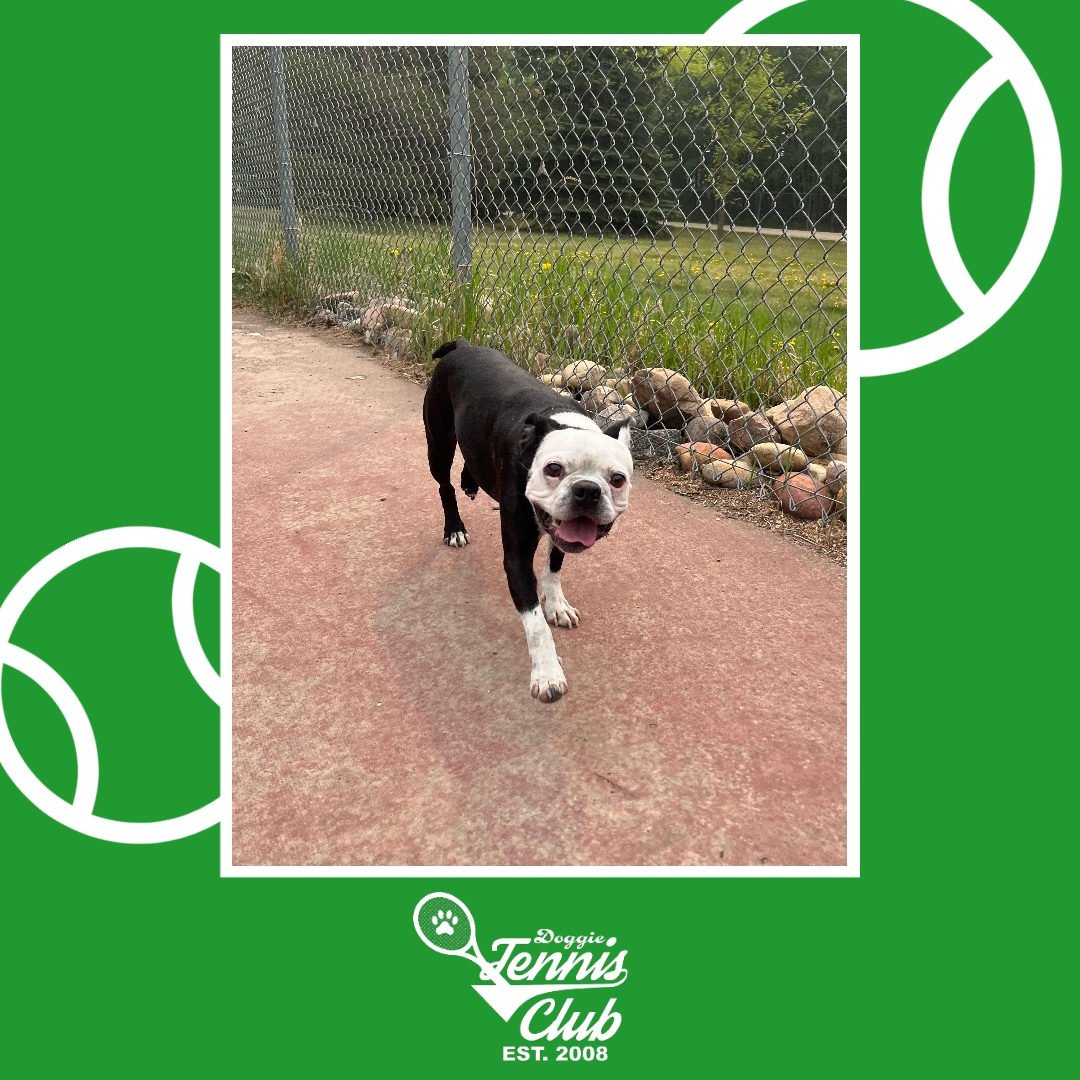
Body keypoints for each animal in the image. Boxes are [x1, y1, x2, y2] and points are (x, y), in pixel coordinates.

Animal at [423, 341, 630, 704]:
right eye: (553, 469)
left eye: (617, 479)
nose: (587, 490)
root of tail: (462, 344)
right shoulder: (517, 558)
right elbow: (535, 624)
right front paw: (547, 673)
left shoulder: (561, 533)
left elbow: (553, 568)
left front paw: (557, 605)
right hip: (439, 443)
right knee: (444, 485)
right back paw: (454, 527)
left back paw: (470, 482)